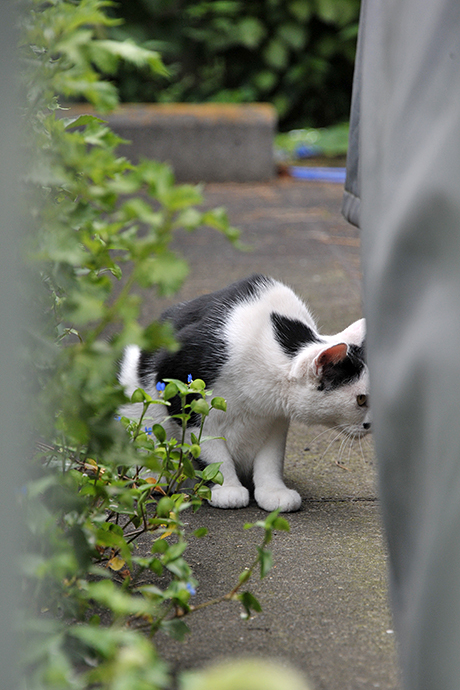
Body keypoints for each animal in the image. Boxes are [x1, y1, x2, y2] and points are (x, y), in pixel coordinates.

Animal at [119, 274, 370, 510]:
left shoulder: (275, 418)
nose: (371, 425)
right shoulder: (178, 382)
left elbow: (270, 457)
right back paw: (154, 477)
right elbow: (209, 447)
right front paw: (226, 487)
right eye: (361, 399)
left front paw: (273, 492)